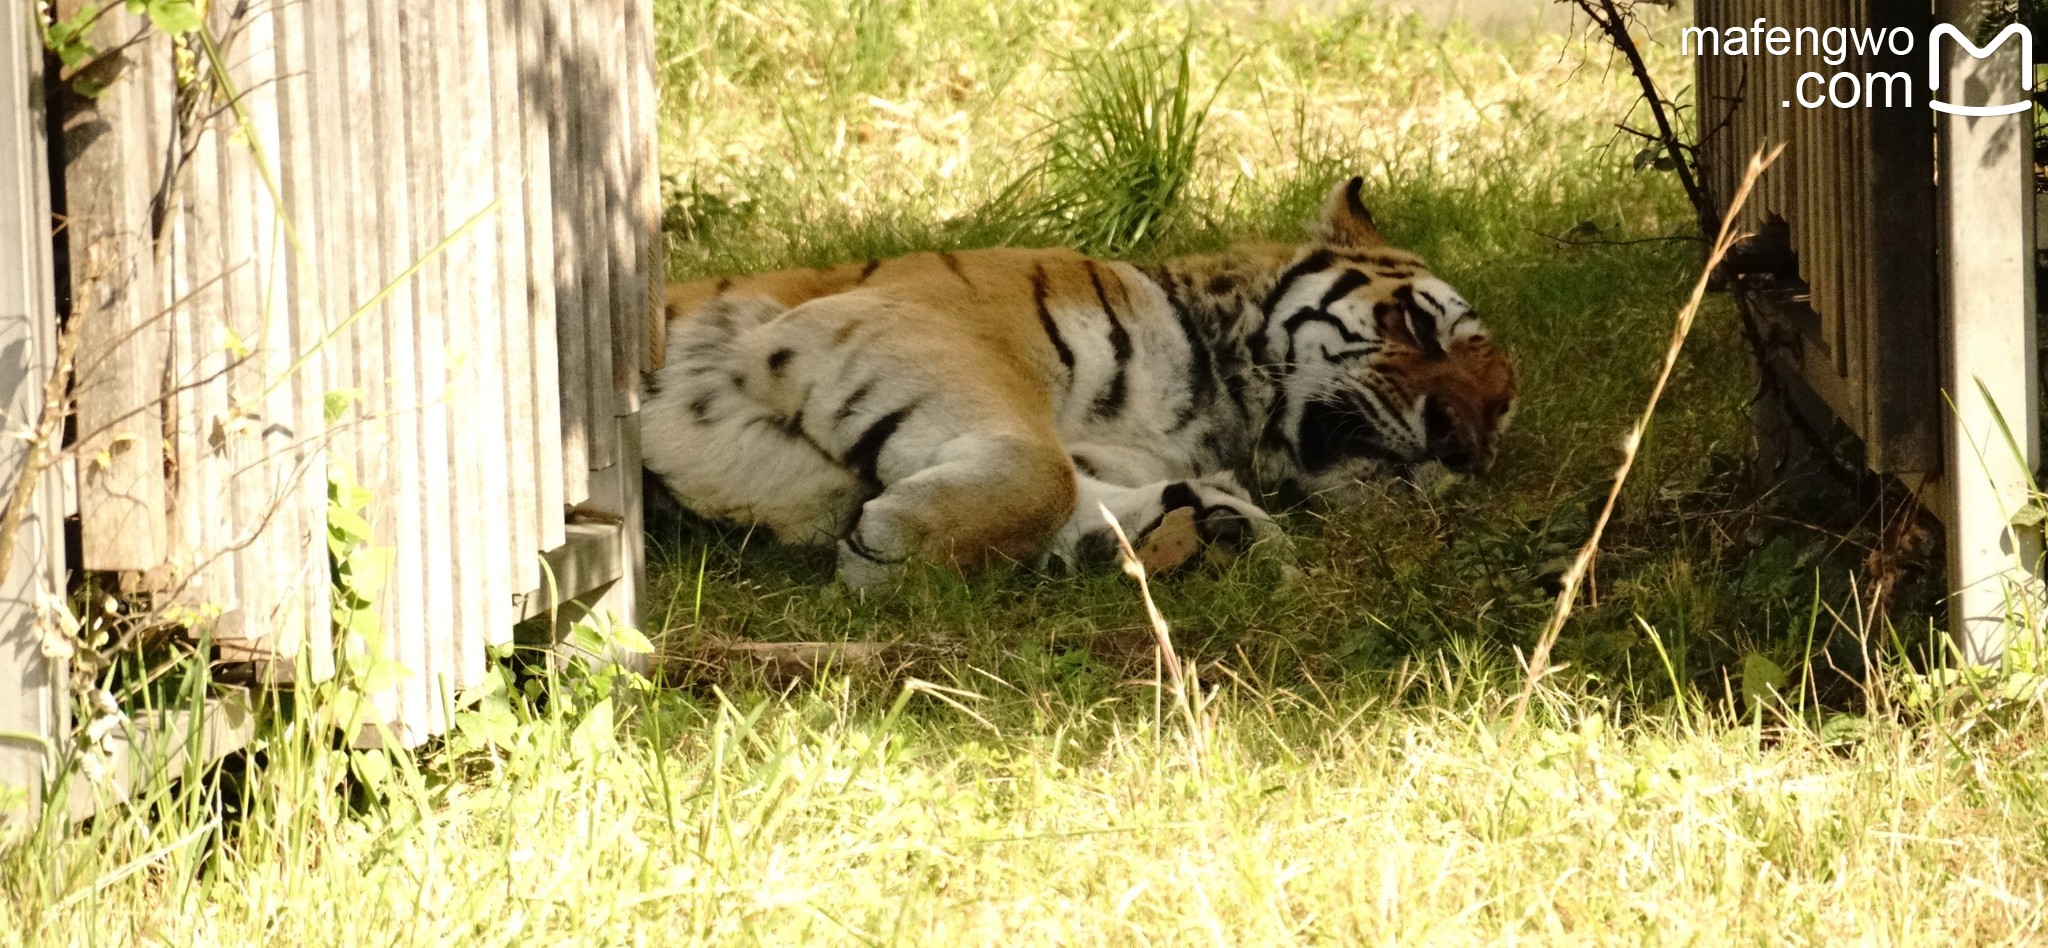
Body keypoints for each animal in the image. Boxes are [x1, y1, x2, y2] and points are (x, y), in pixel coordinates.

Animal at [643, 180, 1523, 585]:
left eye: (1499, 418)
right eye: (1416, 325)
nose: (1461, 444)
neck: (1218, 412)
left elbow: (1085, 494)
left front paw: (1220, 527)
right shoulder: (918, 324)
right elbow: (1043, 474)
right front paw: (891, 551)